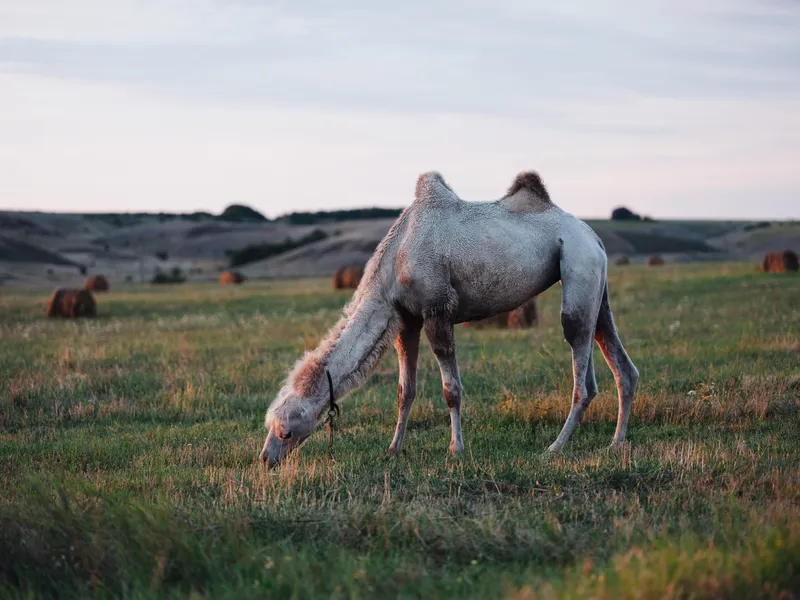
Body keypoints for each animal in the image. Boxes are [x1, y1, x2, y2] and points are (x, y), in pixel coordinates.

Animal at [260, 170, 639, 466]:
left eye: (285, 430)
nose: (266, 458)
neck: (395, 261)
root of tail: (593, 236)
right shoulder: (406, 321)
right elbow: (405, 390)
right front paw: (393, 449)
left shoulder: (437, 310)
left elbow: (451, 390)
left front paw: (456, 448)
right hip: (596, 288)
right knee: (620, 363)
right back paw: (616, 443)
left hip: (578, 265)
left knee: (581, 366)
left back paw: (555, 447)